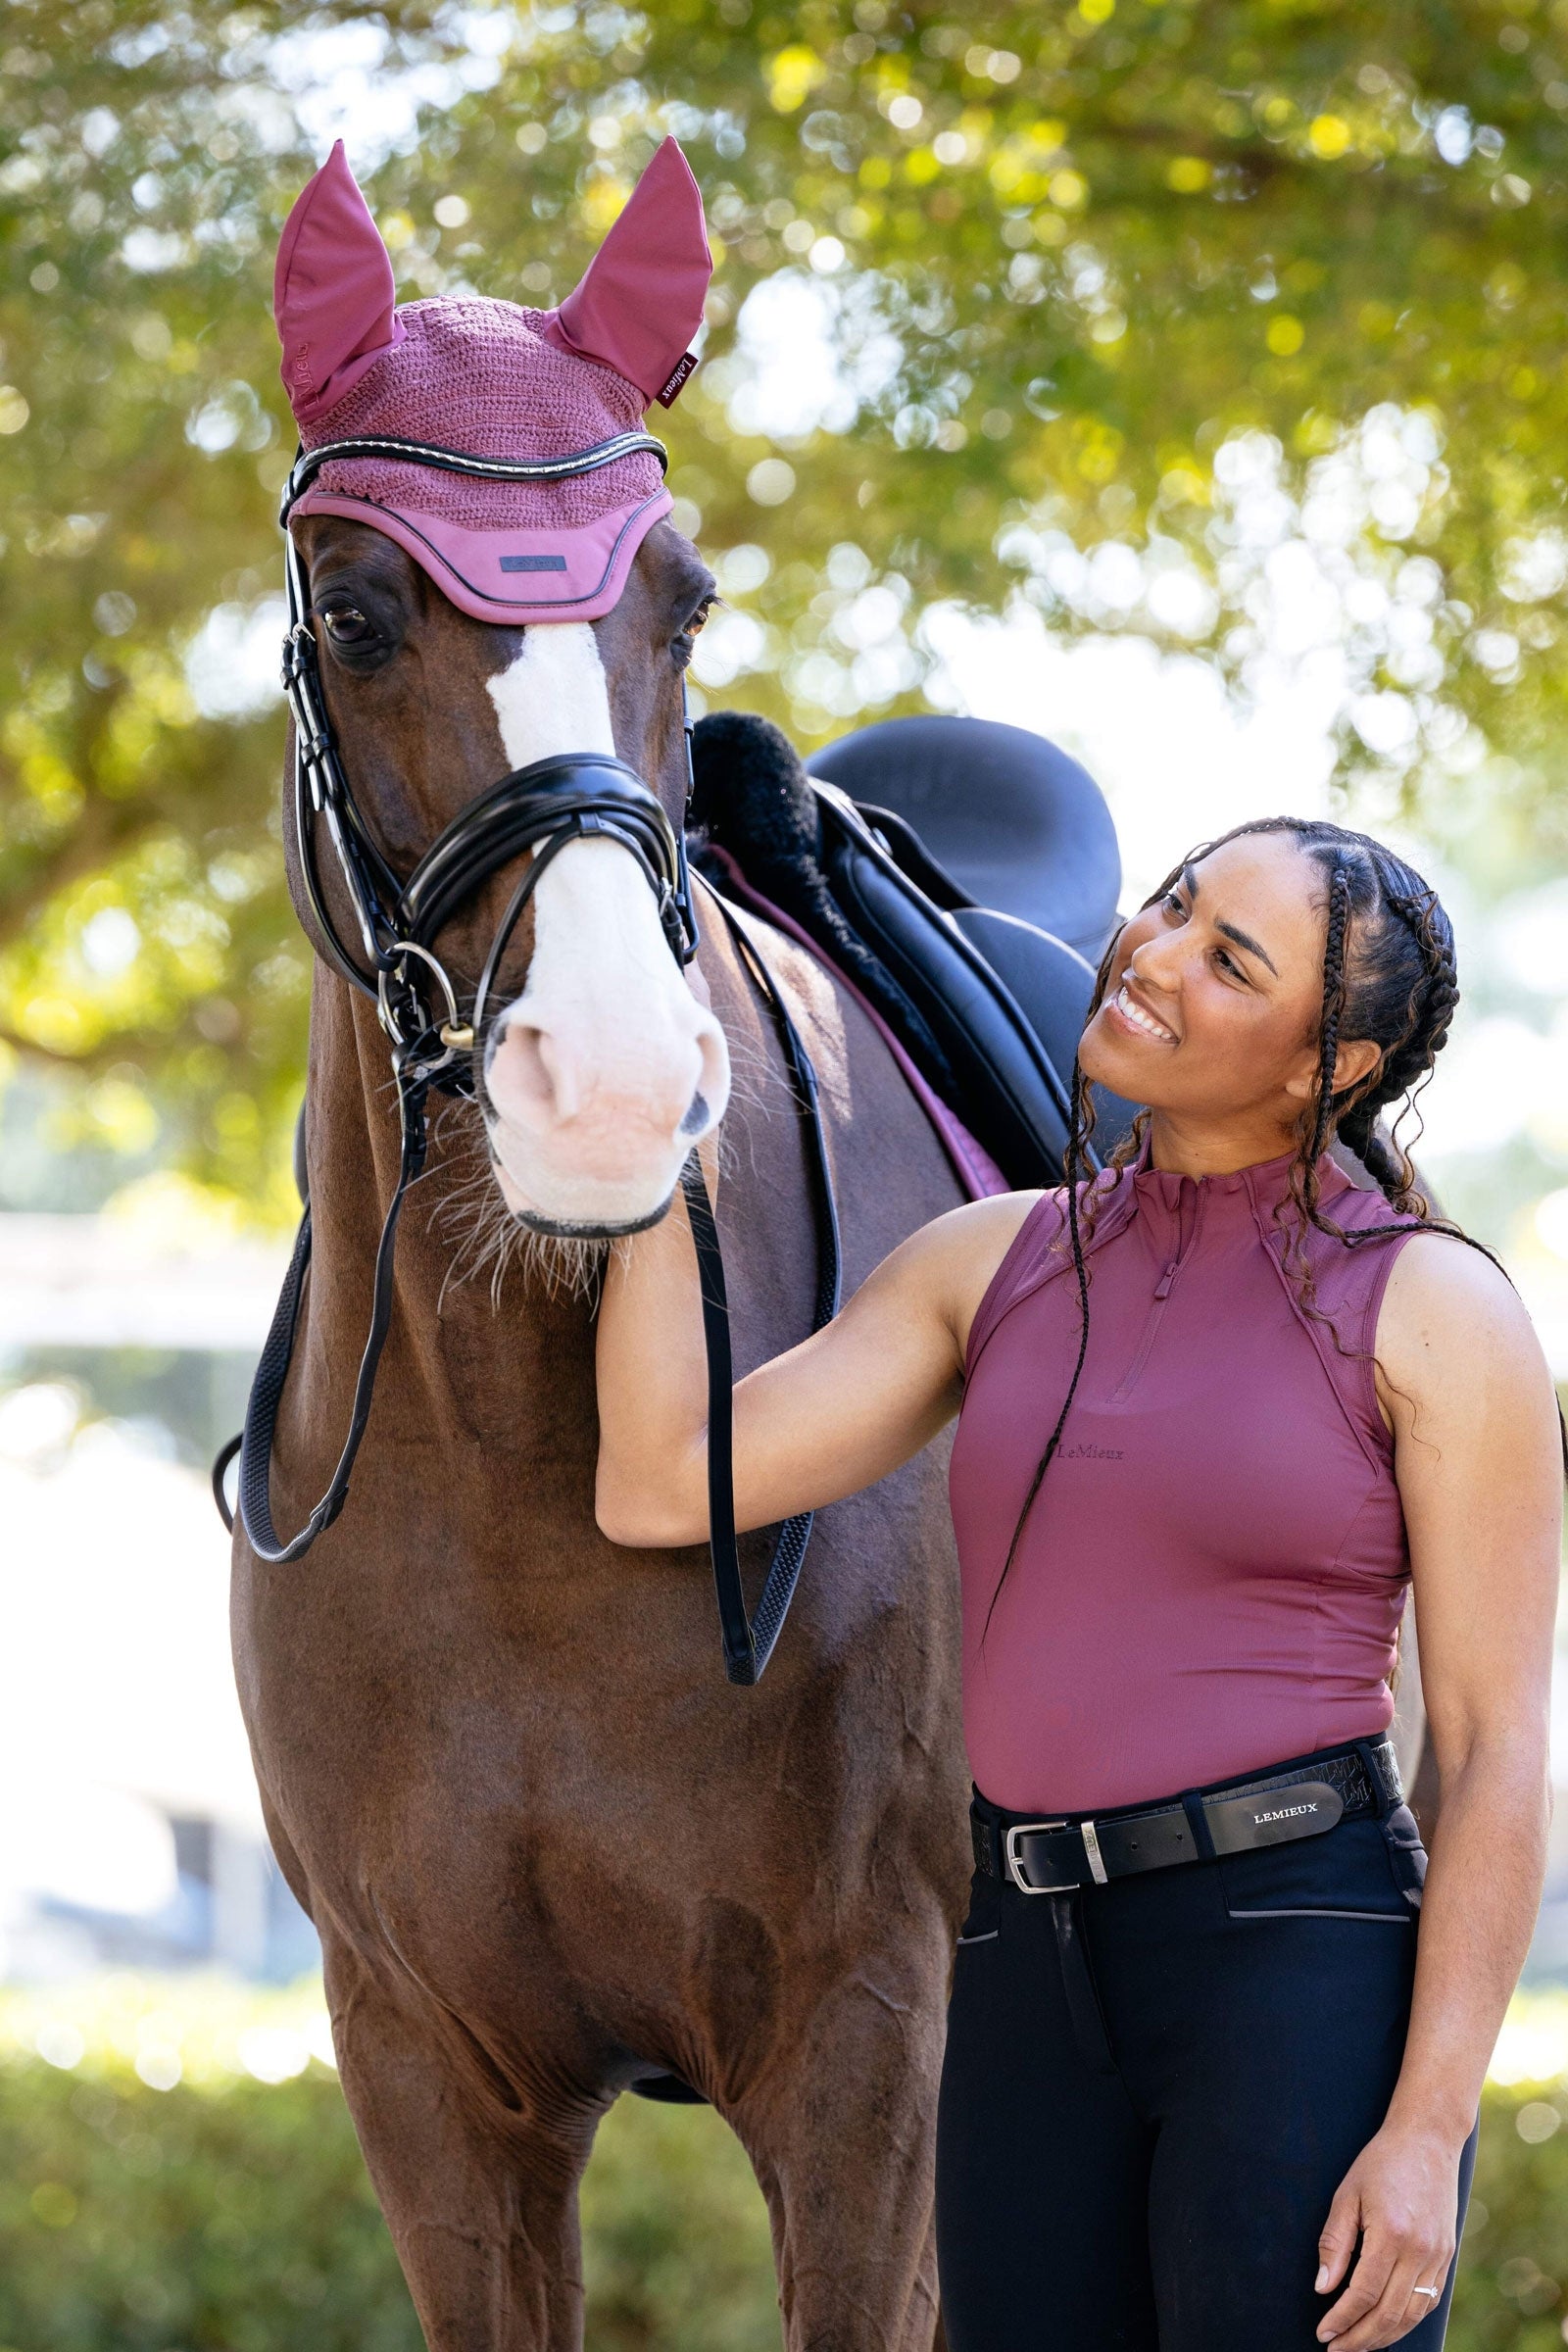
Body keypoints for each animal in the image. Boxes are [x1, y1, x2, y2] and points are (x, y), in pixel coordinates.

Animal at [230, 139, 972, 2349]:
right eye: (358, 613)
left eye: (685, 599)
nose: (617, 1088)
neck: (518, 1472)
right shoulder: (429, 2073)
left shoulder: (863, 2040)